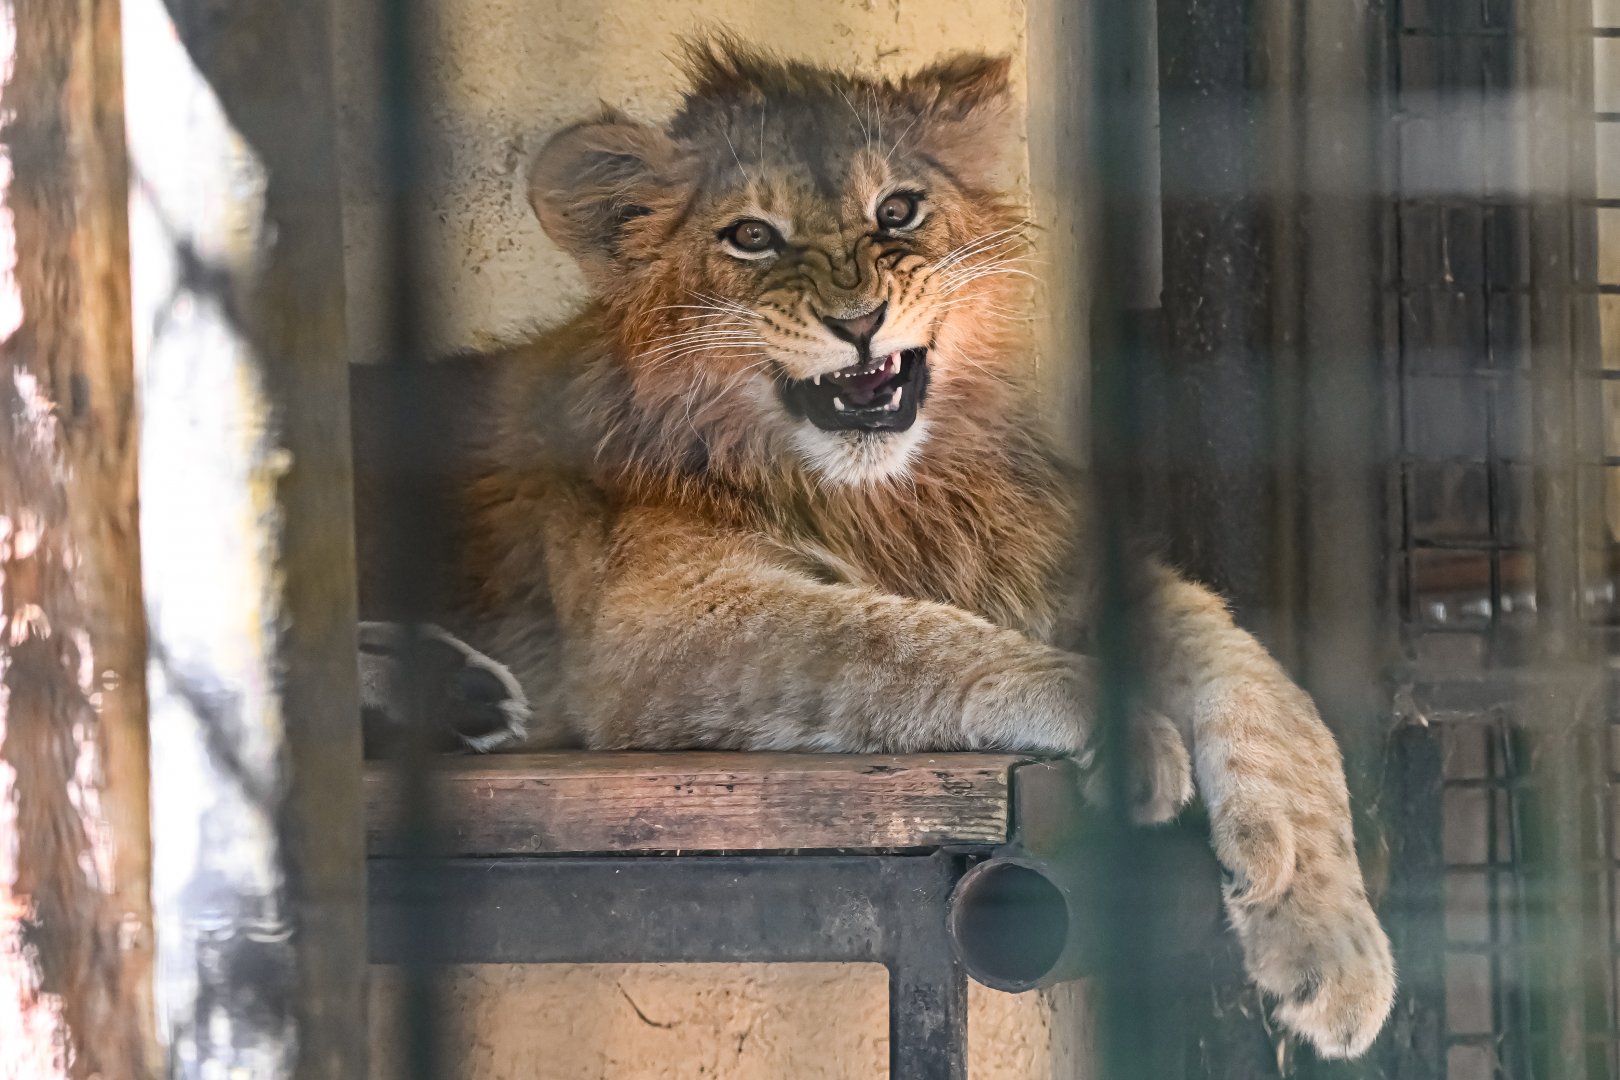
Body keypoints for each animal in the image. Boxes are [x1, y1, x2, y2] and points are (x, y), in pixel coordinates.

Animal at [354, 39, 1396, 1059]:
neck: (890, 494)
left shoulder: (1073, 562)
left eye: (896, 210)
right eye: (752, 236)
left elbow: (1265, 688)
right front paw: (1118, 716)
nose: (857, 323)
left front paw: (1333, 941)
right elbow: (897, 638)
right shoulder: (644, 631)